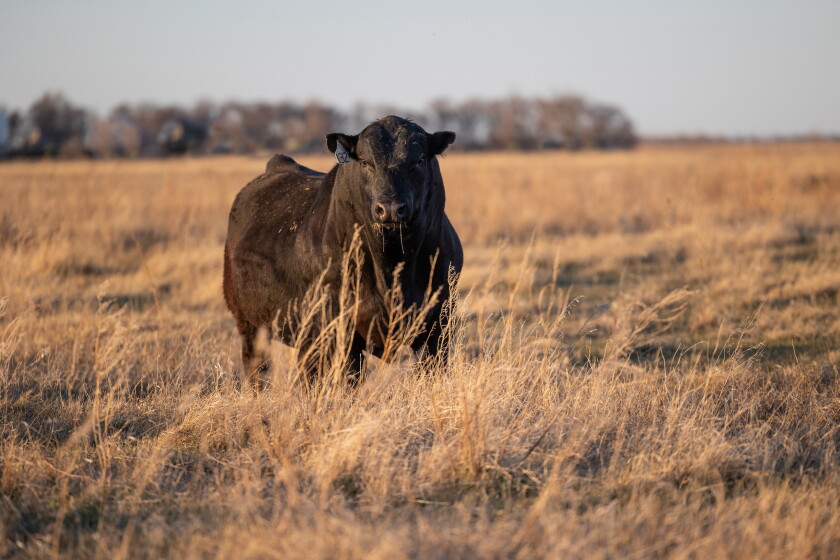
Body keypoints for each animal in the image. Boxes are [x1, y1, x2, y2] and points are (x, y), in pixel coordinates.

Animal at [223, 116, 463, 387]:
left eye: (419, 160)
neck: (391, 268)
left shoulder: (439, 326)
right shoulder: (342, 328)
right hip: (248, 323)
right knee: (257, 369)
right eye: (366, 162)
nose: (390, 208)